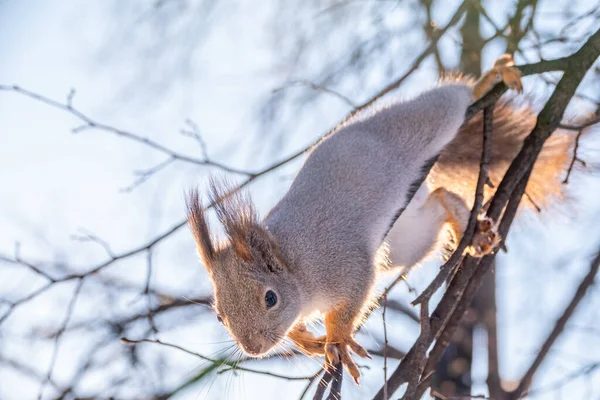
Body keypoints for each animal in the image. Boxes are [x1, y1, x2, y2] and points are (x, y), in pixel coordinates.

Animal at [185, 55, 576, 384]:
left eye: (270, 298)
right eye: (219, 316)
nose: (252, 349)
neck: (296, 268)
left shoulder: (344, 264)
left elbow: (355, 297)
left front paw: (337, 340)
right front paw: (306, 340)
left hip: (421, 124)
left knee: (450, 101)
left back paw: (491, 78)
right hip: (408, 240)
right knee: (438, 203)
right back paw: (462, 221)